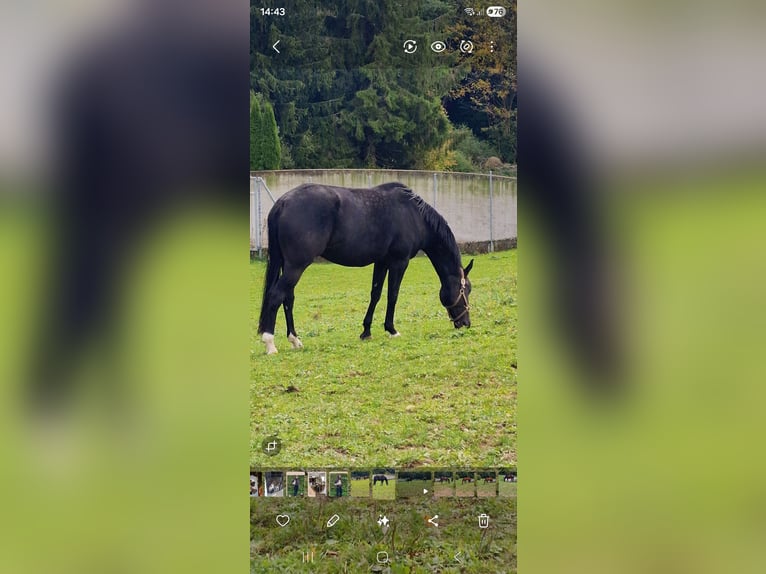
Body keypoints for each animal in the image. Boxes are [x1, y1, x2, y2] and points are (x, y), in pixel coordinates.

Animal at [257, 182, 474, 354]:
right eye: (465, 290)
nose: (466, 323)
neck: (413, 215)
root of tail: (283, 202)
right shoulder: (399, 262)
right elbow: (392, 295)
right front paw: (392, 329)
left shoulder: (382, 262)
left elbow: (375, 294)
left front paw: (366, 331)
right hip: (296, 266)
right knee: (276, 296)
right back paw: (270, 343)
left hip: (288, 265)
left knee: (288, 298)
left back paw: (294, 339)